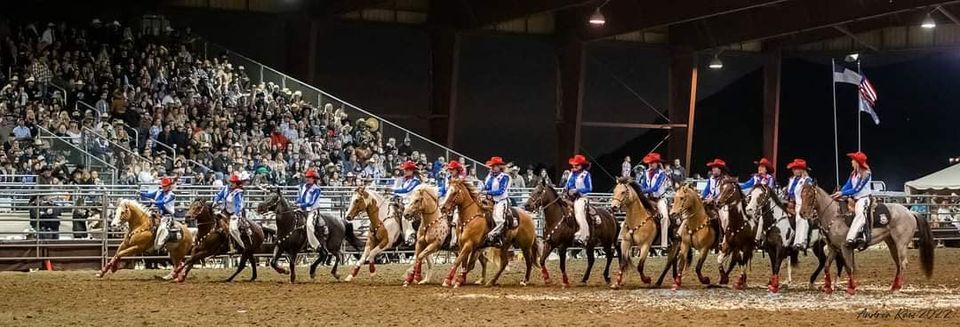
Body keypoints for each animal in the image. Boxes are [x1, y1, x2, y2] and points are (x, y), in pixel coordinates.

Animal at [800, 186, 932, 296]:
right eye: (801, 195)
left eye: (811, 195)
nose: (802, 213)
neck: (834, 215)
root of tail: (910, 212)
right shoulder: (833, 248)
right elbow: (827, 266)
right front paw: (827, 287)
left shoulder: (844, 247)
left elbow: (848, 267)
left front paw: (851, 288)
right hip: (891, 243)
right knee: (898, 264)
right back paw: (893, 287)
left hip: (901, 244)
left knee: (903, 263)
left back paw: (898, 288)